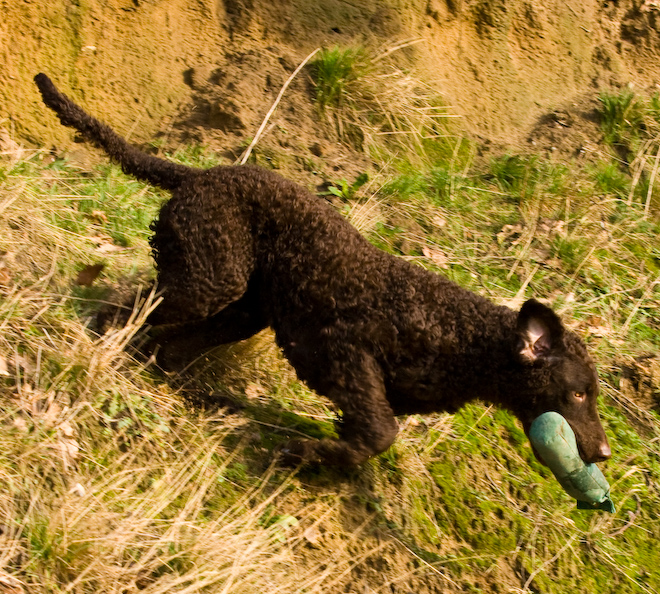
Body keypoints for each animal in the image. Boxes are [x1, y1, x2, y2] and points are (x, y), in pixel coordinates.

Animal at [36, 70, 612, 468]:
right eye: (579, 393)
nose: (605, 453)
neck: (461, 338)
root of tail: (198, 174)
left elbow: (370, 431)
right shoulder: (345, 350)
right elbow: (379, 434)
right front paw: (308, 458)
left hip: (242, 308)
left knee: (172, 347)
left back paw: (197, 394)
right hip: (209, 279)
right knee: (127, 310)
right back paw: (101, 349)